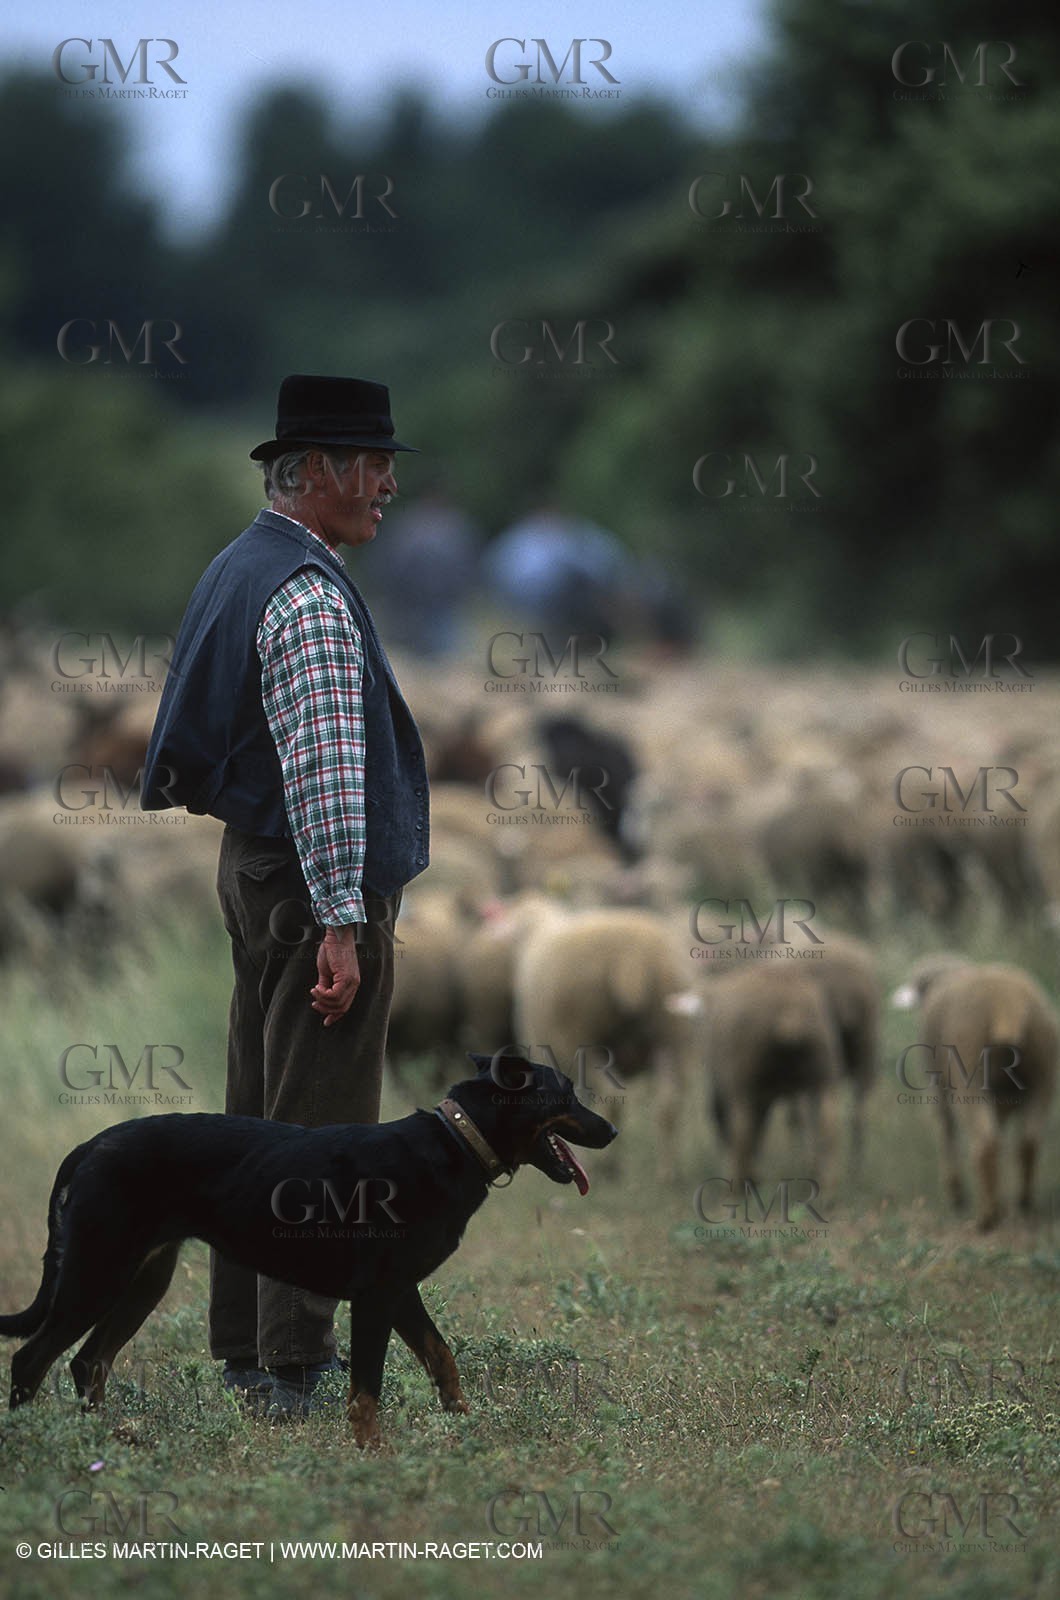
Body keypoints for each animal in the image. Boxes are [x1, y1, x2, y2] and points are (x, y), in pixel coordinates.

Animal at [891, 957, 1058, 1230]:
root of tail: (1007, 1000)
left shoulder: (937, 1089)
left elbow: (946, 1131)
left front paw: (956, 1195)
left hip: (969, 1073)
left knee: (985, 1141)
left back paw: (987, 1218)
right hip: (1043, 1074)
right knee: (1028, 1143)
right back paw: (1023, 1204)